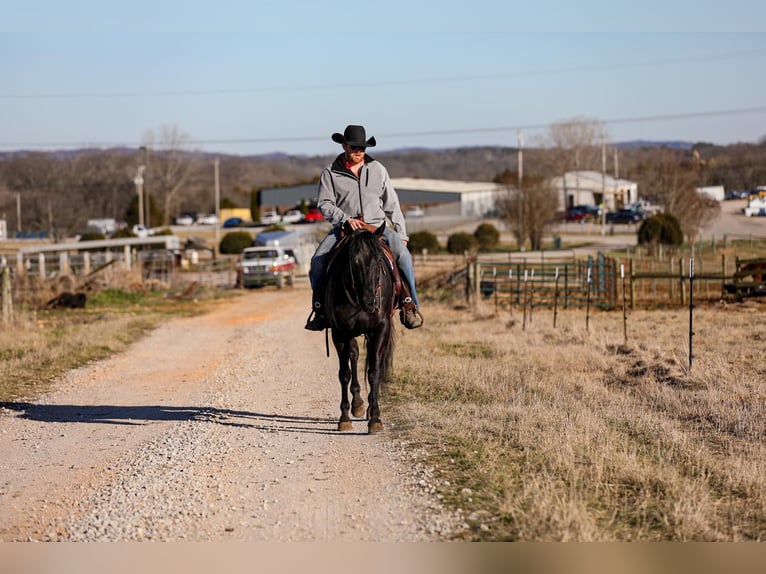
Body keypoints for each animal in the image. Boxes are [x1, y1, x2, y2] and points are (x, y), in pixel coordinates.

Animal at [322, 223, 396, 434]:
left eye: (378, 259)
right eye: (353, 261)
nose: (369, 301)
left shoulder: (380, 329)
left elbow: (373, 372)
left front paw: (376, 418)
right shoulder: (340, 332)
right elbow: (344, 373)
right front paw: (344, 417)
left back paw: (369, 408)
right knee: (354, 356)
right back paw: (358, 405)